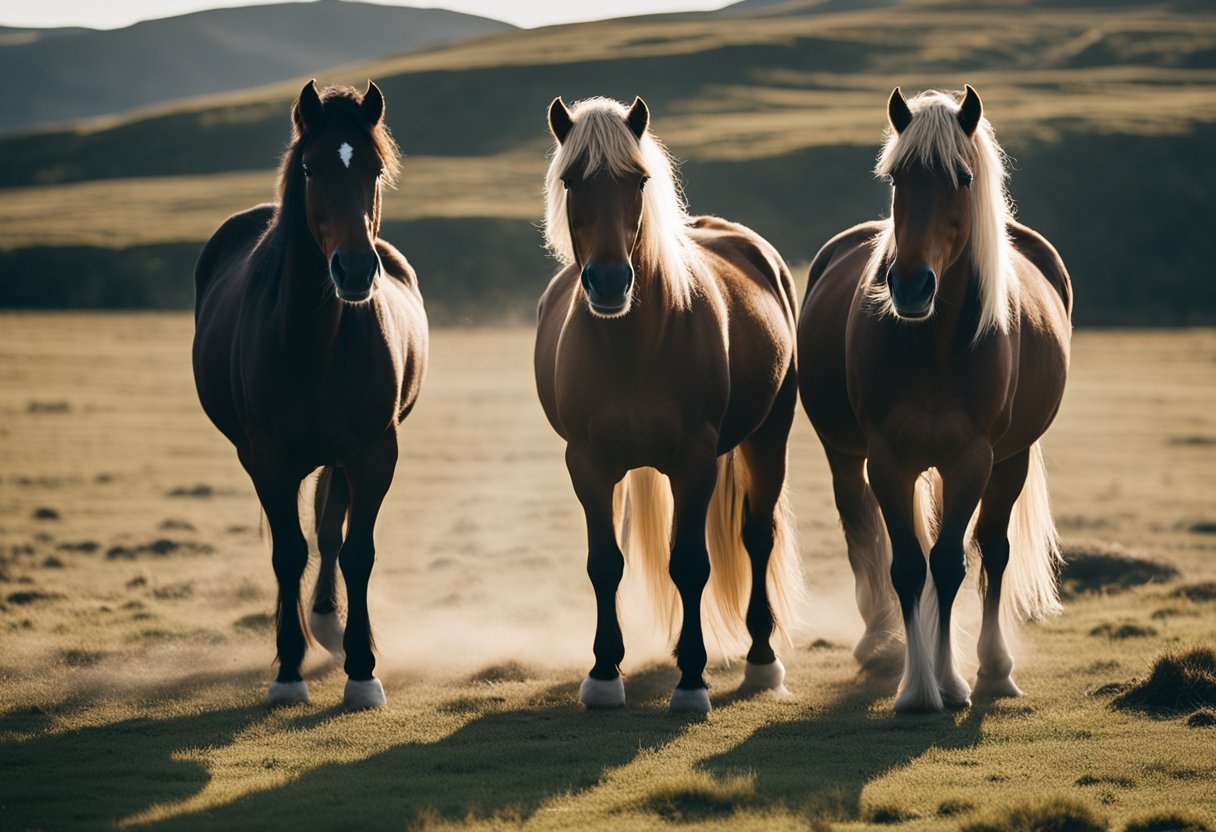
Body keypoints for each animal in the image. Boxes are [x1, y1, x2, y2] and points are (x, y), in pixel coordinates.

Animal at [193, 79, 428, 710]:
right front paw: (288, 669)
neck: (313, 342)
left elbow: (355, 549)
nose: (355, 270)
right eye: (311, 168)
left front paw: (362, 668)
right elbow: (288, 552)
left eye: (374, 168)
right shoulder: (269, 458)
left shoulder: (373, 452)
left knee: (330, 530)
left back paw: (328, 621)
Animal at [535, 94, 802, 710]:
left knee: (757, 537)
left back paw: (760, 659)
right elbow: (605, 565)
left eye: (638, 180)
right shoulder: (587, 464)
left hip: (767, 437)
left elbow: (690, 564)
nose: (610, 281)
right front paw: (604, 673)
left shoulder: (695, 461)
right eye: (570, 179)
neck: (635, 345)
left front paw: (692, 680)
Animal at [797, 86, 1074, 715]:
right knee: (863, 532)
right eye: (897, 176)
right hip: (848, 457)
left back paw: (995, 669)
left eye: (963, 177)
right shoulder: (885, 457)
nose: (909, 285)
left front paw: (948, 682)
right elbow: (905, 565)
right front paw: (917, 688)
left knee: (992, 550)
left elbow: (949, 563)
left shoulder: (973, 456)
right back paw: (880, 642)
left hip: (1009, 459)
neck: (935, 347)